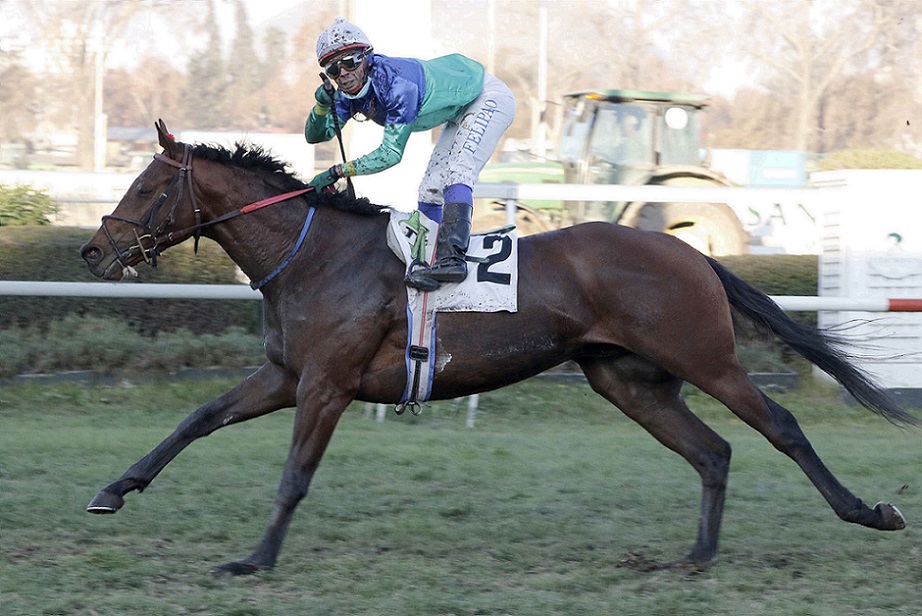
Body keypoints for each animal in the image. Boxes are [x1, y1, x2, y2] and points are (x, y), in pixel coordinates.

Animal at [79, 120, 916, 575]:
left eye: (147, 188)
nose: (92, 251)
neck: (314, 253)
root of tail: (690, 252)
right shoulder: (285, 375)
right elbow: (196, 420)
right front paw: (113, 490)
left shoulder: (326, 383)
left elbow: (293, 477)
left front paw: (255, 559)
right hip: (629, 381)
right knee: (713, 452)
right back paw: (695, 556)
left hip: (704, 357)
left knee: (780, 427)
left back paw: (869, 512)